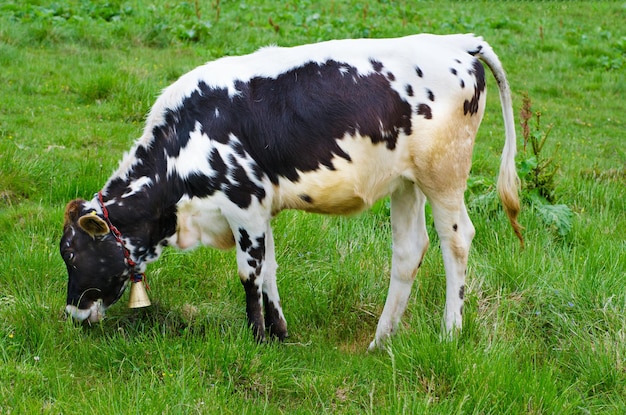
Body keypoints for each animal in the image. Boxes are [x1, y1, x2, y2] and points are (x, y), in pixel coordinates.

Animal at [58, 33, 520, 352]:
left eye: (73, 254)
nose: (73, 313)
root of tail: (457, 42)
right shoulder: (260, 209)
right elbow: (269, 269)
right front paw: (279, 333)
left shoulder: (242, 204)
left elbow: (249, 274)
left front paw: (256, 338)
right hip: (406, 182)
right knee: (409, 250)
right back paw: (380, 341)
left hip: (444, 174)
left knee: (456, 241)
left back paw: (450, 333)